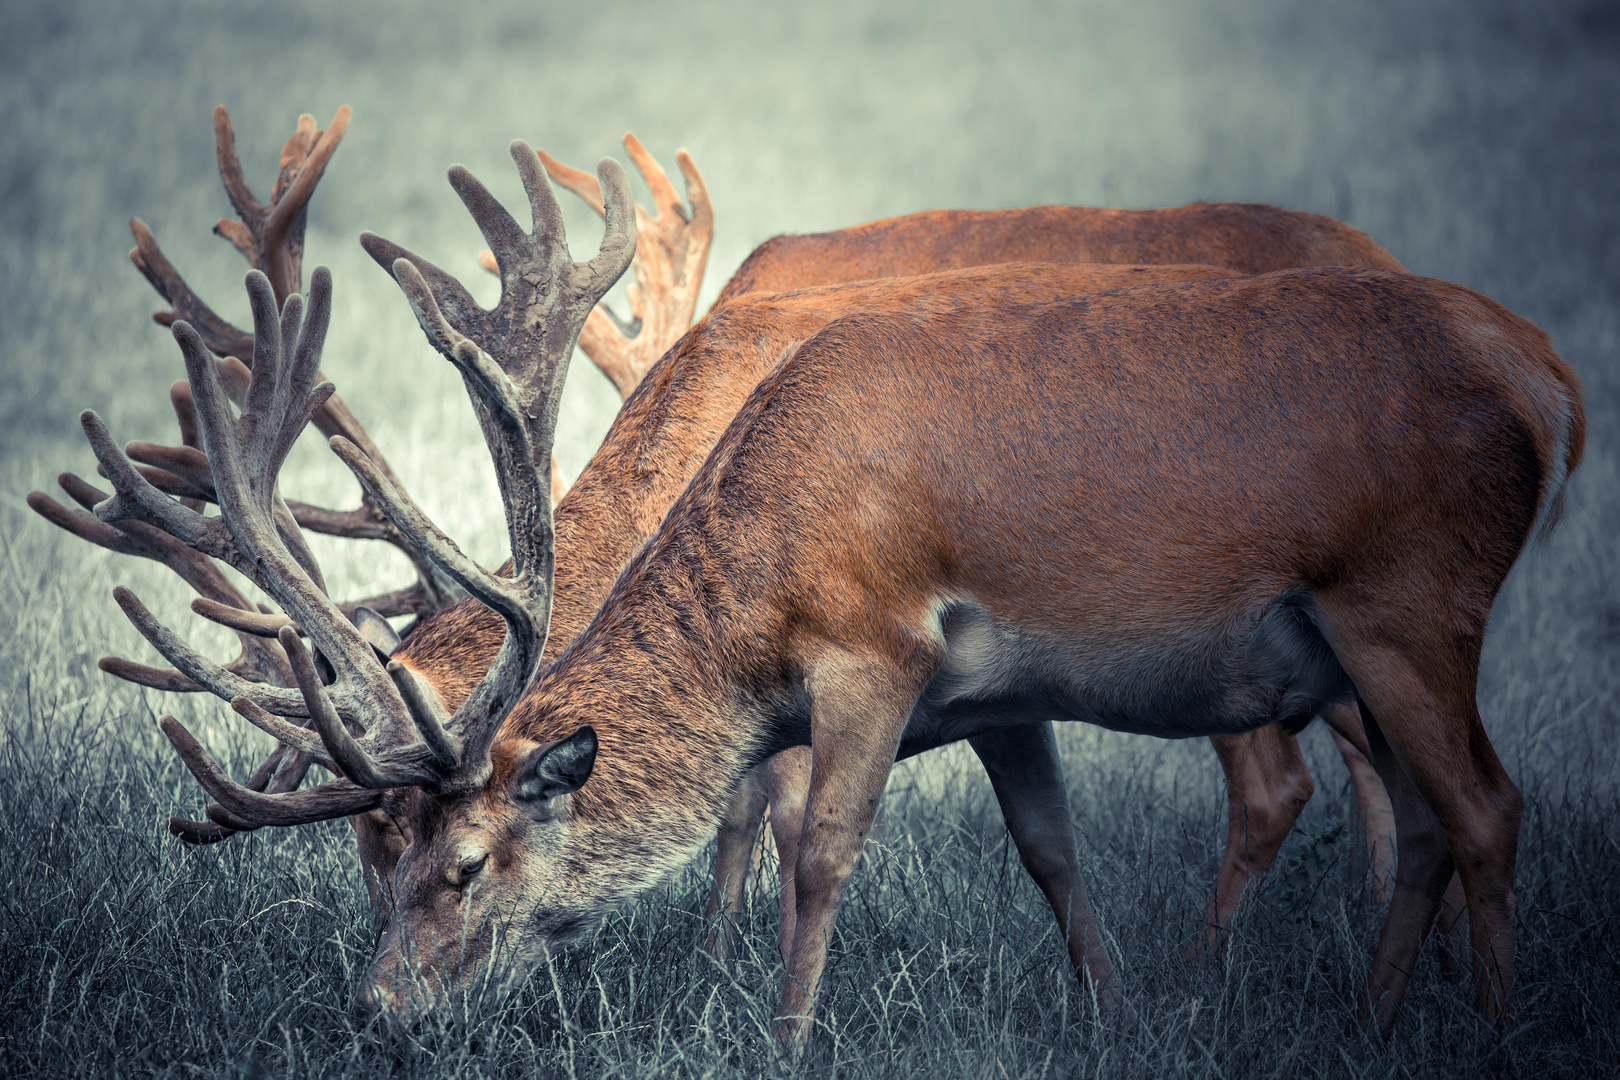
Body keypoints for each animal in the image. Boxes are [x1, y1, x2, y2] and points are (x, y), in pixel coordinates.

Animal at [76, 143, 1581, 1049]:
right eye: (369, 855)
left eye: (457, 862)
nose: (376, 1009)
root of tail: (1547, 380)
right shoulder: (1000, 695)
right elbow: (1048, 848)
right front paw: (1107, 1014)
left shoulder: (871, 652)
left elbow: (803, 840)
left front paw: (754, 1015)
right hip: (1347, 643)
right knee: (1416, 810)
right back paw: (1373, 1012)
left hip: (1404, 602)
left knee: (1463, 804)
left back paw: (1462, 1019)